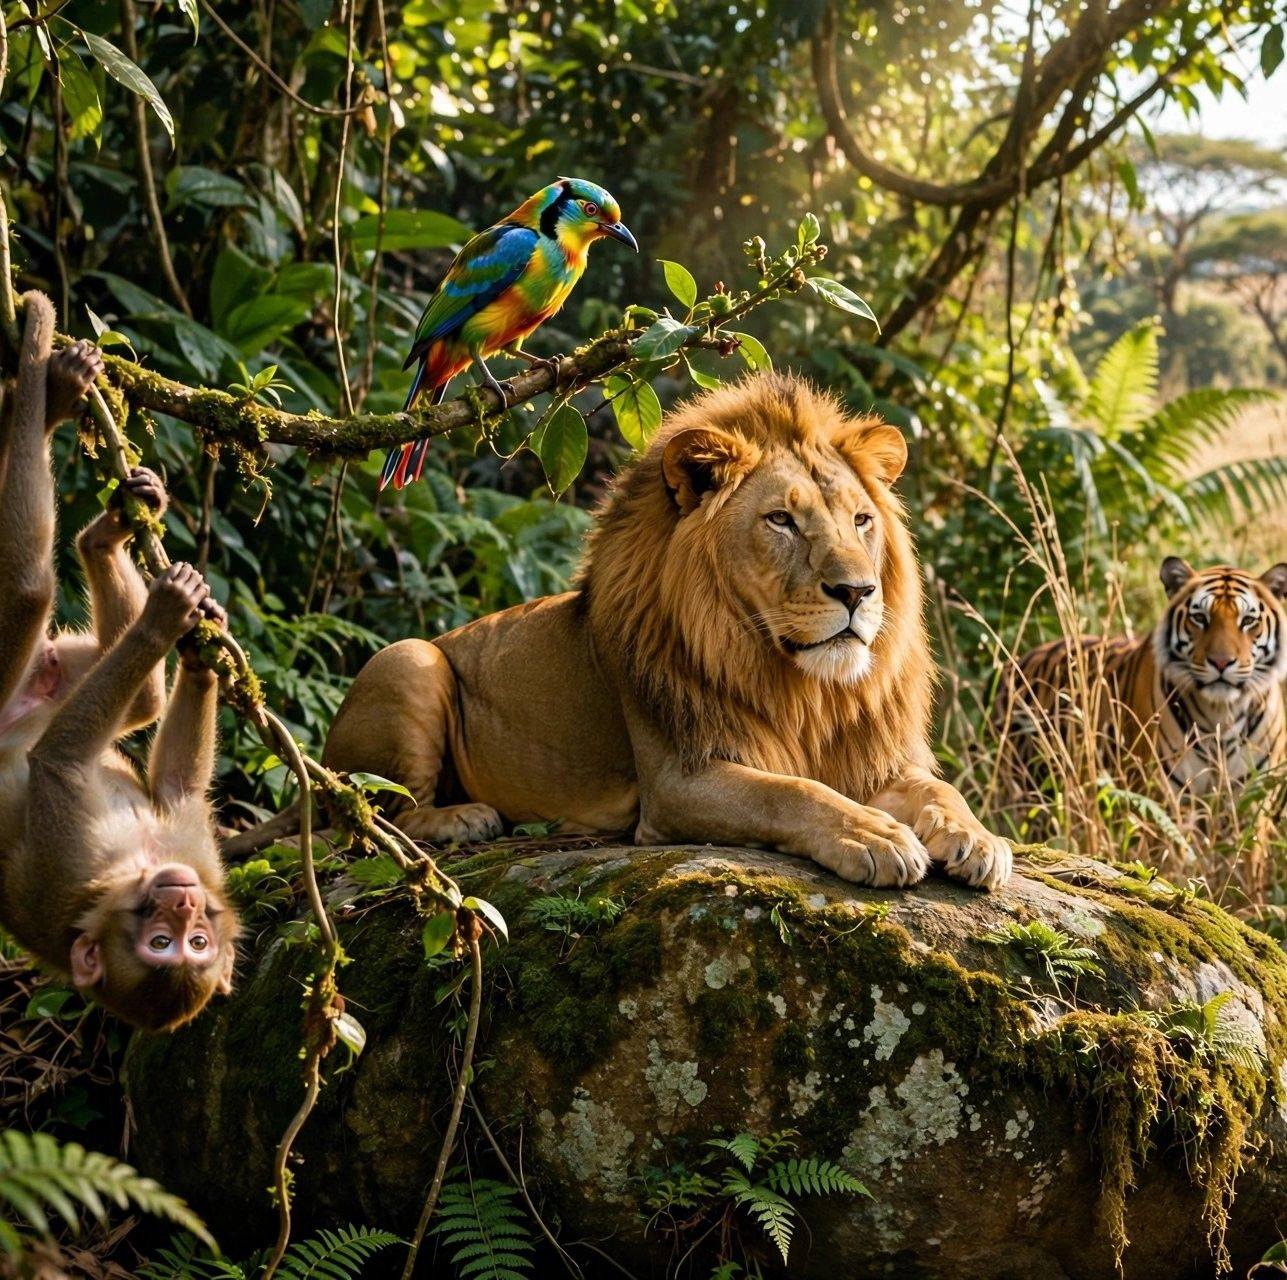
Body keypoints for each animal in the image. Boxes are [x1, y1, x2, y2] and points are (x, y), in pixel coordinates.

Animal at [325, 372, 1011, 890]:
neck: (809, 692)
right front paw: (873, 834)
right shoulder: (678, 781)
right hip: (409, 660)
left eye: (863, 520)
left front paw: (979, 840)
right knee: (378, 817)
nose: (857, 592)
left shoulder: (874, 758)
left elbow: (941, 790)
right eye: (781, 520)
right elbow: (792, 792)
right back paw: (466, 819)